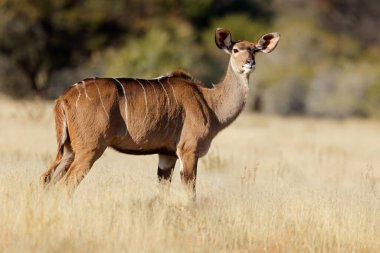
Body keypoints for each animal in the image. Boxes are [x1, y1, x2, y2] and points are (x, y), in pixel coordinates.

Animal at [40, 28, 280, 196]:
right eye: (236, 50)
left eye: (255, 50)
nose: (249, 63)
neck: (210, 102)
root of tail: (64, 98)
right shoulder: (188, 151)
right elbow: (190, 193)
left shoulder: (166, 155)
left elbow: (162, 193)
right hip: (89, 149)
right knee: (67, 184)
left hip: (69, 149)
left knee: (47, 178)